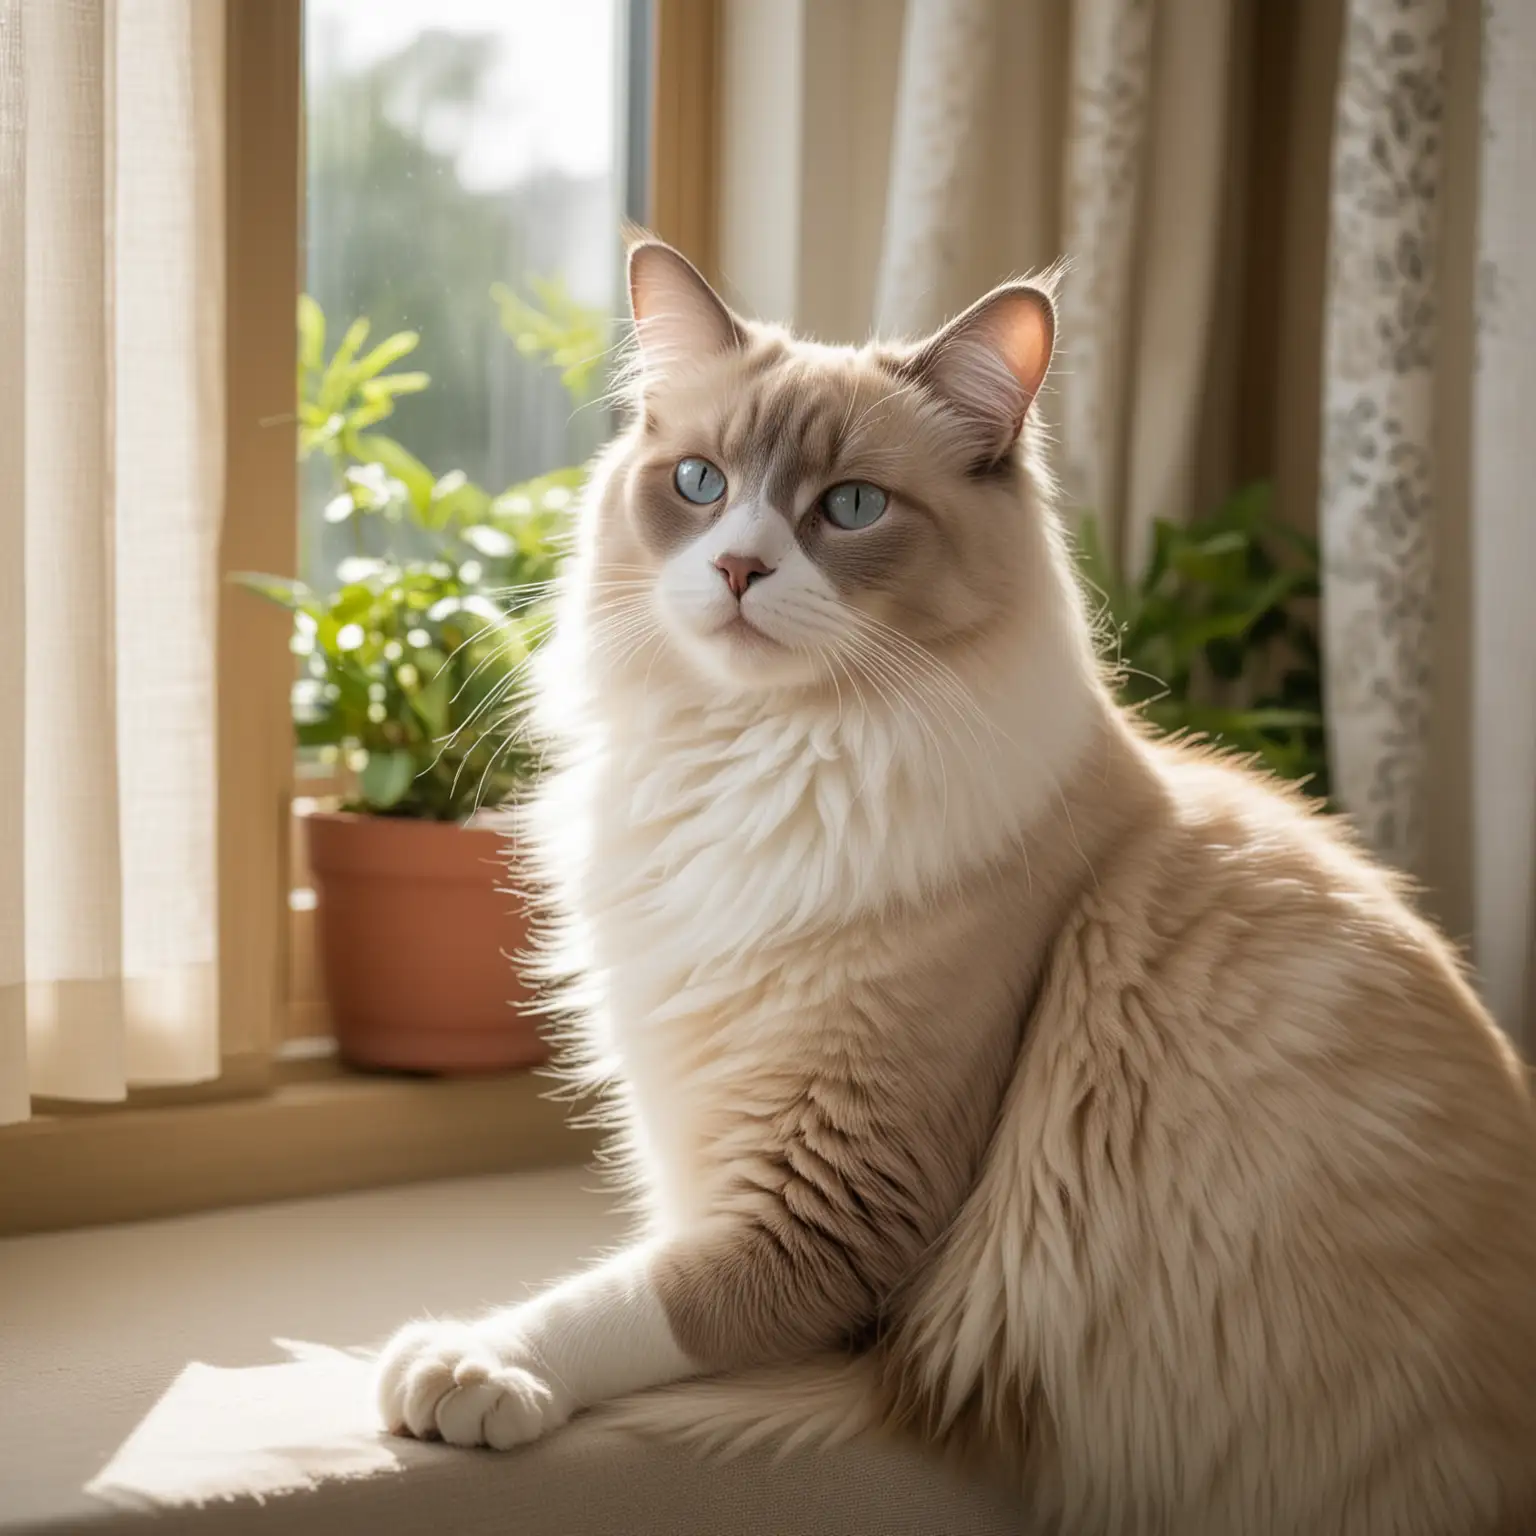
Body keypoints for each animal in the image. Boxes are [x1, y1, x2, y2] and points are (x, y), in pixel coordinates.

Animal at [374, 239, 1536, 1536]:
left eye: (850, 508)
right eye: (699, 483)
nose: (736, 566)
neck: (757, 762)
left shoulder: (826, 1207)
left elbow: (633, 1301)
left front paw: (472, 1368)